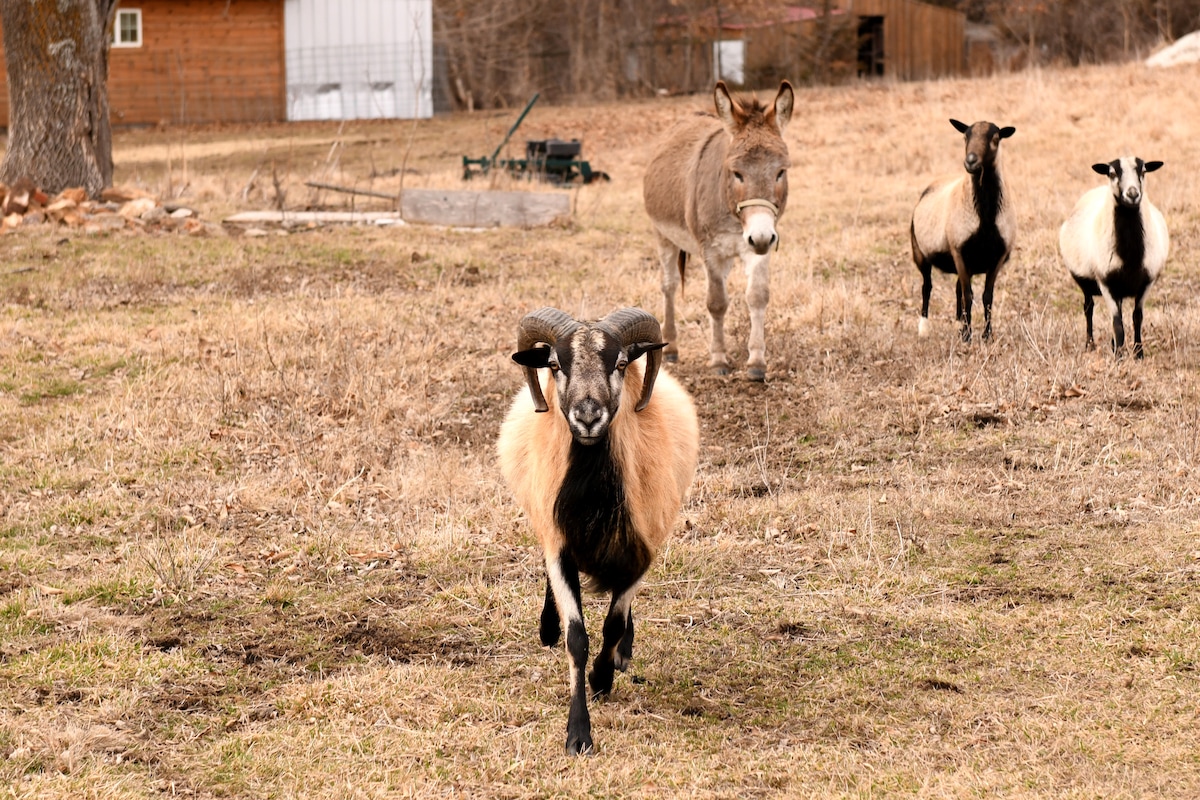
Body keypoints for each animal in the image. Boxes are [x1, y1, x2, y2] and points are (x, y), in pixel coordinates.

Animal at [496, 307, 700, 758]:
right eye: (555, 365)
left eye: (621, 364)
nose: (588, 416)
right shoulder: (559, 545)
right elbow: (577, 638)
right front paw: (578, 734)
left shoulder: (641, 550)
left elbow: (612, 624)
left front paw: (602, 677)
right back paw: (547, 628)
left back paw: (623, 652)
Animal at [912, 118, 1017, 340]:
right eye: (965, 137)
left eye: (996, 138)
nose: (970, 161)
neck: (986, 218)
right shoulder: (958, 249)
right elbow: (969, 295)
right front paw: (967, 336)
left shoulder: (997, 256)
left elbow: (987, 296)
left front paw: (986, 335)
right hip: (921, 252)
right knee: (927, 287)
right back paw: (924, 327)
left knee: (957, 287)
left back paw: (958, 322)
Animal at [1065, 155, 1166, 357]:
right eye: (1111, 173)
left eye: (1144, 171)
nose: (1133, 194)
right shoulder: (1106, 282)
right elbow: (1117, 323)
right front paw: (1119, 356)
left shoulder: (1146, 282)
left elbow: (1137, 317)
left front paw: (1138, 353)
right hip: (1087, 282)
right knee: (1088, 309)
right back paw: (1090, 344)